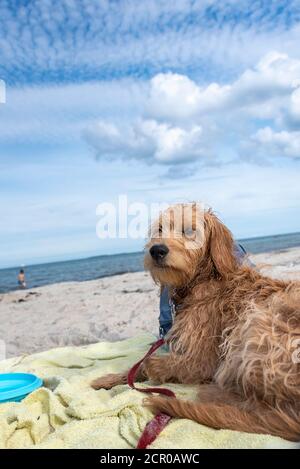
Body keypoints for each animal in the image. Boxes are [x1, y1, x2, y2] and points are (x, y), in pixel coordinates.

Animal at [91, 203, 300, 440]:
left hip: (256, 321)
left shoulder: (202, 361)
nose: (157, 250)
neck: (203, 280)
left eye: (190, 230)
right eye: (160, 229)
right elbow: (134, 368)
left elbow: (148, 364)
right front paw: (108, 379)